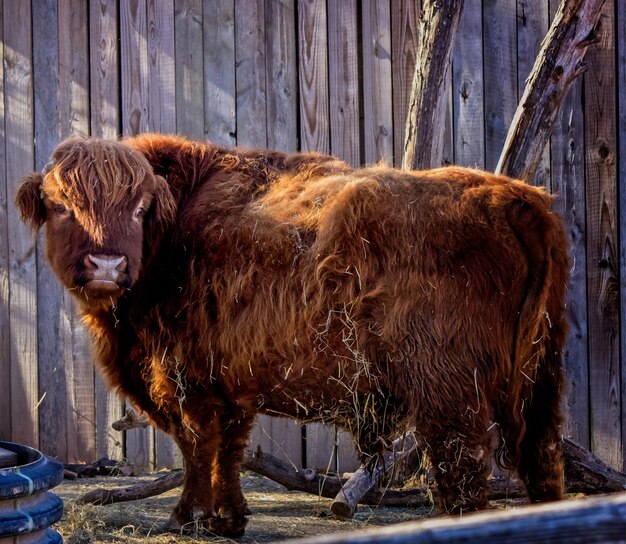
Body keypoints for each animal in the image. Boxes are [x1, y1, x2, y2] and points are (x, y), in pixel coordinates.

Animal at [17, 135, 568, 536]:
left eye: (138, 209)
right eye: (61, 206)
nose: (107, 265)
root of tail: (514, 197)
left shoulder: (186, 381)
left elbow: (197, 445)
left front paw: (188, 517)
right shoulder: (230, 387)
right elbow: (229, 450)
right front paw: (228, 519)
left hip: (450, 399)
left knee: (464, 477)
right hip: (539, 385)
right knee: (542, 463)